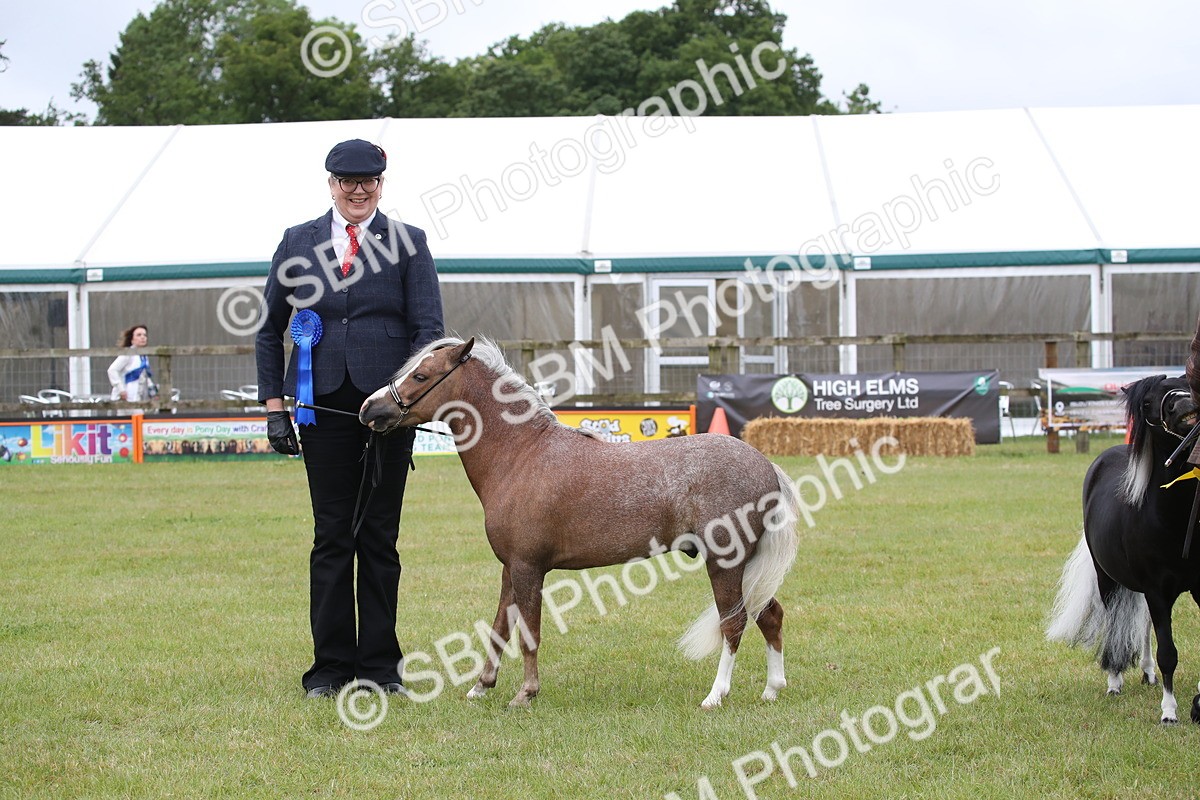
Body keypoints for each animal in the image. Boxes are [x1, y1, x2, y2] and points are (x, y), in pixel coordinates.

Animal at [359, 336, 801, 709]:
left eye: (420, 376)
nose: (369, 409)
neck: (522, 453)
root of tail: (765, 465)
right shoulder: (510, 568)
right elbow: (500, 627)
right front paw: (481, 687)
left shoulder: (528, 568)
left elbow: (529, 634)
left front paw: (525, 694)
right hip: (746, 568)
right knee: (769, 615)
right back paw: (771, 689)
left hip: (725, 563)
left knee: (734, 623)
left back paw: (715, 695)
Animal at [1046, 374, 1200, 724]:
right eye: (1148, 402)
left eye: (1188, 383)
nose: (1184, 405)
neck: (1173, 515)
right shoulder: (1156, 589)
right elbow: (1168, 652)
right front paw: (1169, 712)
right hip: (1108, 579)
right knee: (1116, 622)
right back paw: (1115, 681)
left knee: (1143, 625)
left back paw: (1147, 672)